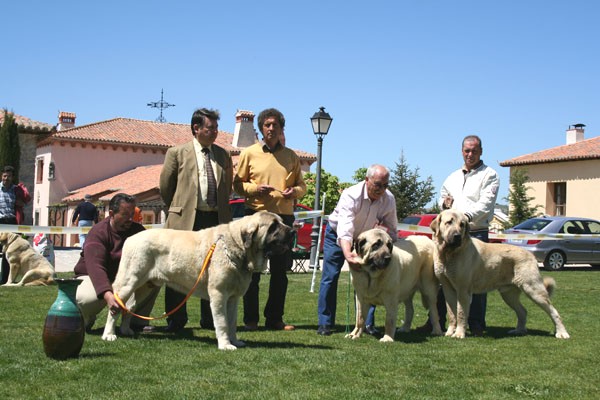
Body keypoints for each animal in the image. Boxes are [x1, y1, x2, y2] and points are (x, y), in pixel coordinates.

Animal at [102, 212, 292, 350]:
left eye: (281, 222)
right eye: (273, 226)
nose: (292, 231)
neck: (238, 246)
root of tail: (131, 238)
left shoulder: (233, 298)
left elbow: (231, 322)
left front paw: (235, 341)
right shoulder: (219, 295)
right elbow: (222, 322)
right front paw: (225, 345)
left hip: (146, 287)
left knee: (130, 307)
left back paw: (126, 330)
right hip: (128, 281)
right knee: (115, 307)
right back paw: (109, 335)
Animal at [428, 211, 568, 340]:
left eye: (462, 225)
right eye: (449, 222)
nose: (457, 236)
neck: (448, 254)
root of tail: (531, 255)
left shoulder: (463, 290)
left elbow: (461, 313)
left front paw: (458, 334)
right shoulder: (448, 288)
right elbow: (452, 313)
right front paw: (450, 332)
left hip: (533, 290)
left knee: (554, 312)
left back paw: (562, 333)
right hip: (509, 294)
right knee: (523, 311)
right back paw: (519, 330)